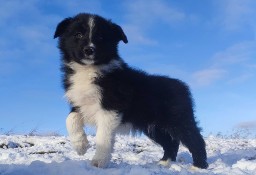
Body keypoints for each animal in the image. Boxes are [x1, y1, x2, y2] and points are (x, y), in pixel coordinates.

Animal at [53, 13, 208, 169]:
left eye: (101, 37)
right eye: (78, 35)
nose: (89, 50)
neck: (89, 70)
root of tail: (182, 85)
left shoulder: (111, 107)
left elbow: (103, 135)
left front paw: (99, 161)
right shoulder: (79, 104)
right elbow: (70, 119)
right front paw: (80, 146)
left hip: (179, 119)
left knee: (195, 139)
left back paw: (198, 166)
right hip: (153, 127)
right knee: (170, 142)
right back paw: (165, 162)